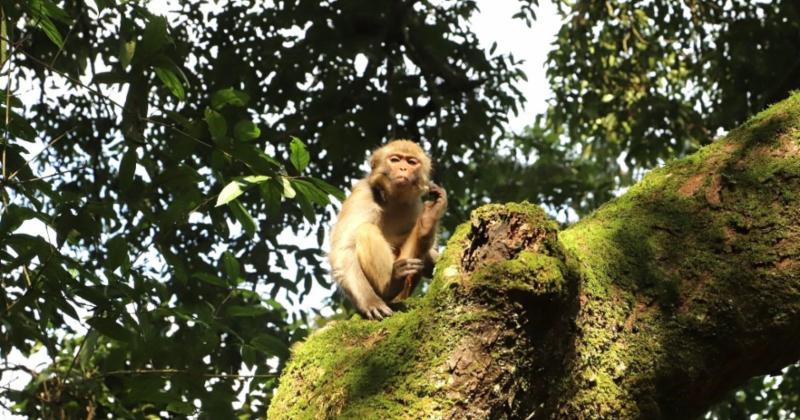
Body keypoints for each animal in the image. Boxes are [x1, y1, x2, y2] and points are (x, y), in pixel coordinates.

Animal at [328, 139, 446, 320]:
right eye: (395, 160)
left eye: (411, 162)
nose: (403, 168)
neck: (393, 200)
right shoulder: (362, 195)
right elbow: (344, 251)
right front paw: (370, 301)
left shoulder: (417, 205)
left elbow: (430, 258)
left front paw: (429, 218)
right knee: (365, 230)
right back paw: (390, 286)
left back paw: (426, 224)